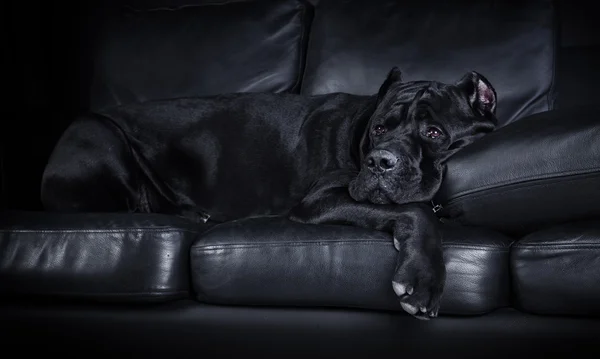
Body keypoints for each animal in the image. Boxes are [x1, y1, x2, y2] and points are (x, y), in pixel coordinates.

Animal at [42, 68, 500, 320]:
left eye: (434, 133)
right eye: (379, 130)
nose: (379, 162)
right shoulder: (322, 199)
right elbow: (418, 211)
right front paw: (422, 280)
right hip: (97, 131)